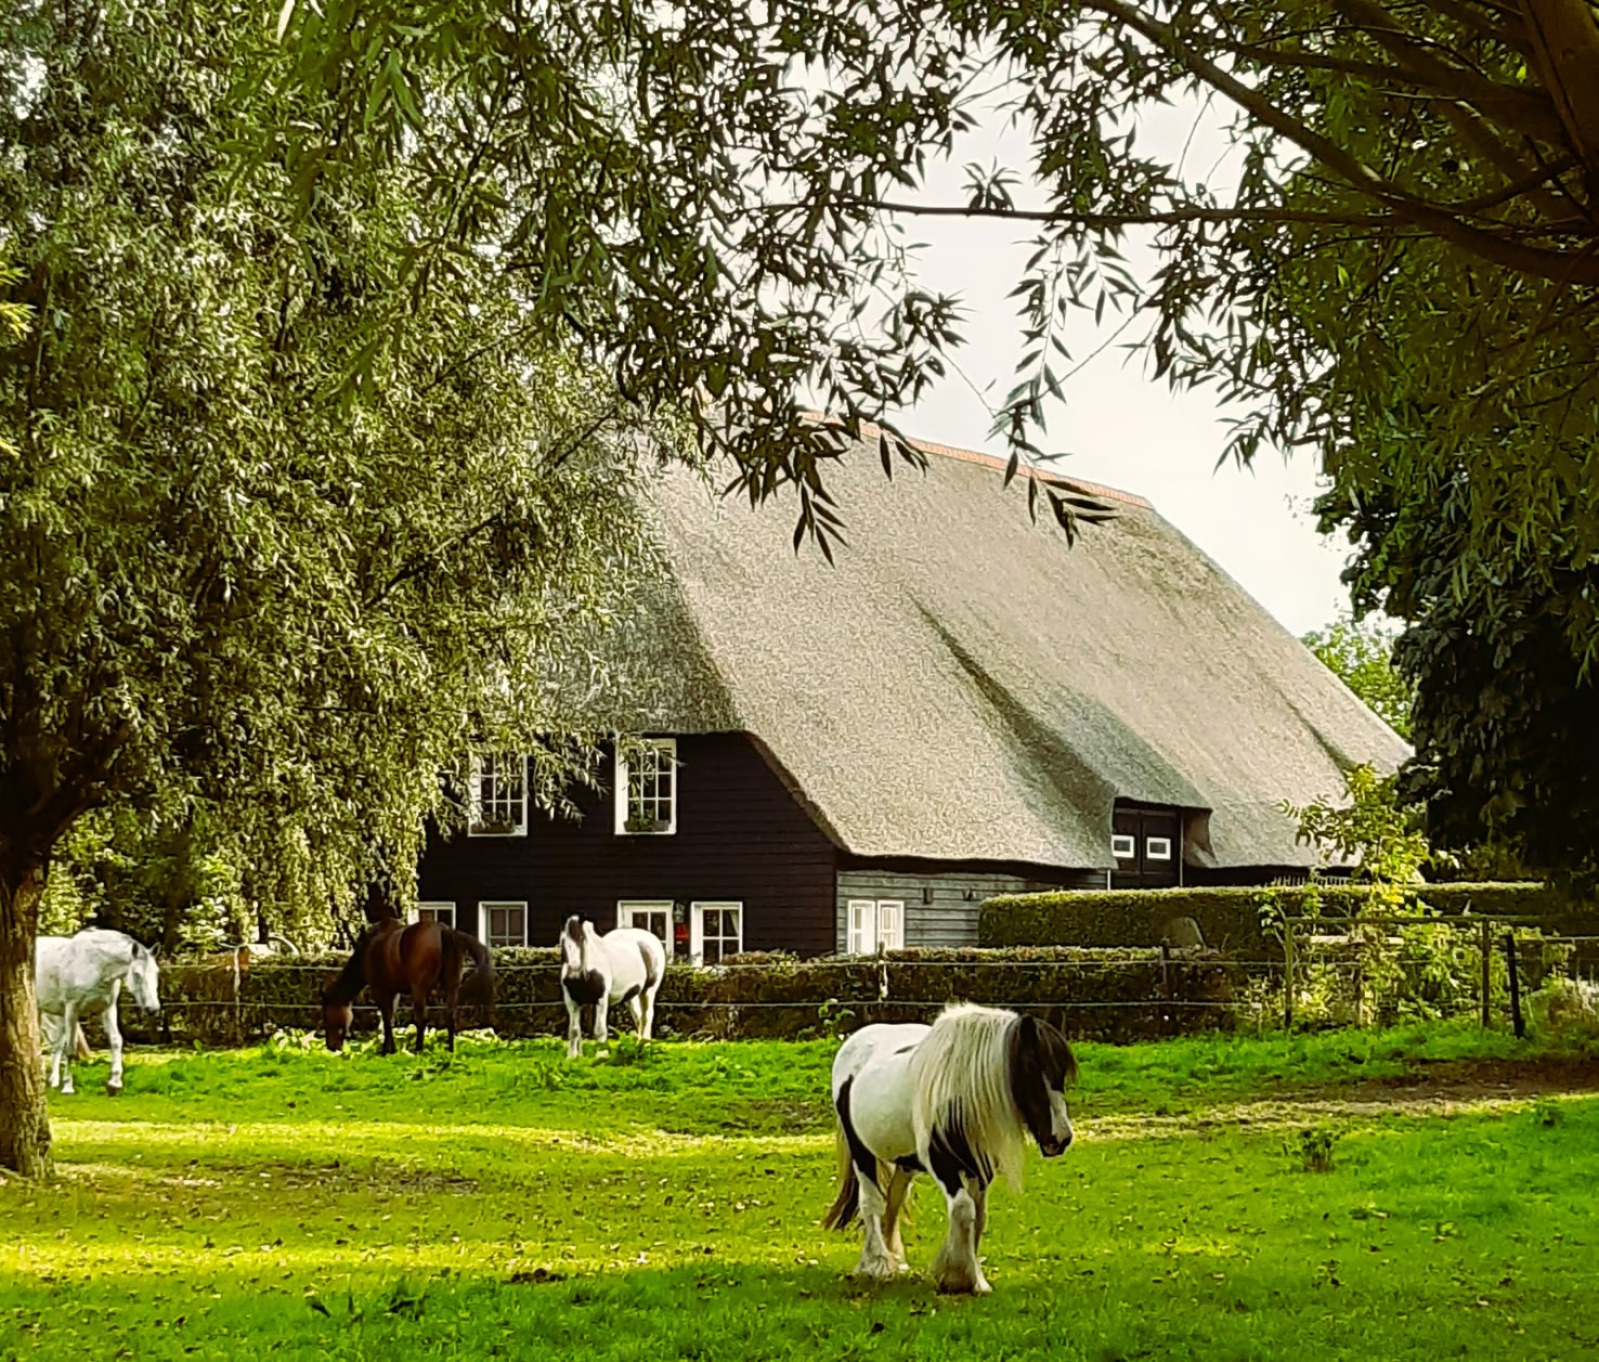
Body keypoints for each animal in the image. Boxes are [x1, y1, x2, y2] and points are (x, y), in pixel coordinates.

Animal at [36, 927, 160, 1093]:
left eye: (157, 972)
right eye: (136, 974)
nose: (153, 1009)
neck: (96, 965)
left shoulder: (108, 1009)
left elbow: (116, 1041)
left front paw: (115, 1083)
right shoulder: (71, 1009)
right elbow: (70, 1048)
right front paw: (68, 1086)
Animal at [321, 920, 495, 1061]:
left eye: (327, 1017)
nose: (331, 1046)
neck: (369, 948)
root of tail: (444, 930)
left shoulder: (380, 990)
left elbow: (386, 1019)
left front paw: (387, 1050)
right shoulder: (394, 992)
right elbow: (390, 1018)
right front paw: (389, 1049)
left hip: (419, 989)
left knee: (422, 1019)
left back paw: (418, 1050)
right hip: (451, 987)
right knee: (450, 1017)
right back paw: (449, 1050)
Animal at [559, 914, 665, 1061]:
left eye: (581, 938)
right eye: (562, 940)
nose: (573, 971)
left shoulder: (601, 1000)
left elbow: (600, 1029)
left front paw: (601, 1055)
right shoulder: (572, 1001)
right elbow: (574, 1030)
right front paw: (572, 1057)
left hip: (648, 991)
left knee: (646, 1017)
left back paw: (645, 1048)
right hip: (631, 996)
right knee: (638, 1017)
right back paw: (640, 1048)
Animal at [825, 1003, 1074, 1291]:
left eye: (1060, 1073)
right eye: (1029, 1069)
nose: (1061, 1138)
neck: (961, 1092)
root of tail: (854, 1042)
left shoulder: (980, 1166)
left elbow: (979, 1215)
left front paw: (968, 1275)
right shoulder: (940, 1162)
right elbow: (964, 1209)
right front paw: (961, 1277)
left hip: (906, 1161)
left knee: (893, 1200)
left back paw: (895, 1259)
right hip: (861, 1152)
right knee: (871, 1202)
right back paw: (877, 1264)